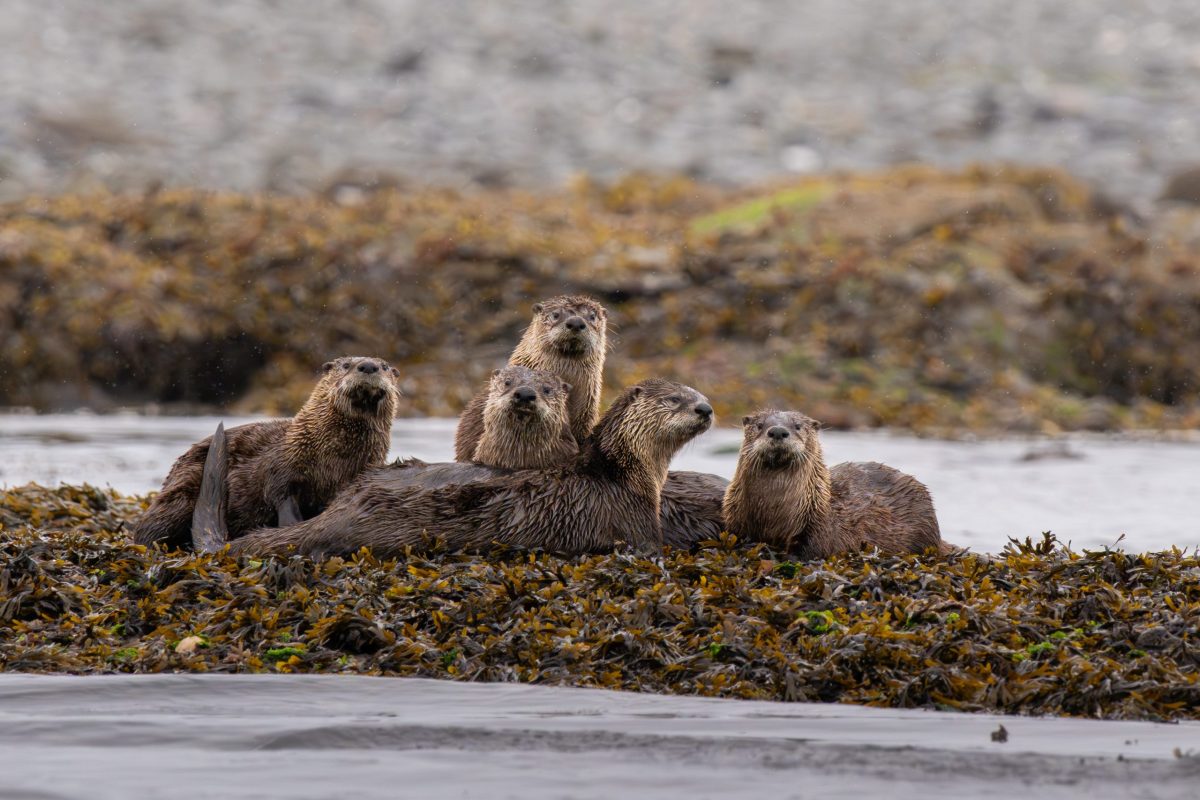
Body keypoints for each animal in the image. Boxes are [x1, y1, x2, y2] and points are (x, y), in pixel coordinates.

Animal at [132, 356, 400, 550]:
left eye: (385, 366)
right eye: (346, 365)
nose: (369, 366)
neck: (334, 457)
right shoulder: (283, 466)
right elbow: (280, 497)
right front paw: (290, 529)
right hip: (181, 493)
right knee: (147, 531)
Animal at [221, 379, 713, 558]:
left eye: (700, 393)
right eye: (676, 398)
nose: (706, 408)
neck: (622, 474)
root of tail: (342, 510)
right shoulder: (636, 527)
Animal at [722, 410, 947, 558]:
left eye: (798, 426)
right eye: (760, 425)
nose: (777, 431)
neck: (772, 513)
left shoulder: (818, 529)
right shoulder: (735, 522)